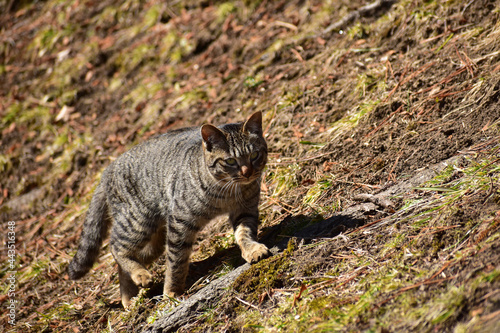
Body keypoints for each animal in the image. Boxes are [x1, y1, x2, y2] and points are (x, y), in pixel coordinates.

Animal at [68, 111, 270, 306]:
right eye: (230, 161)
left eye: (254, 155)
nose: (248, 173)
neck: (226, 193)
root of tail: (107, 170)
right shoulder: (180, 223)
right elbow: (176, 262)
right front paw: (171, 293)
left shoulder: (245, 210)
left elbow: (244, 233)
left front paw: (253, 250)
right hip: (137, 222)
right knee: (116, 247)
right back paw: (140, 276)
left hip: (155, 237)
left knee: (128, 261)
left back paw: (129, 298)